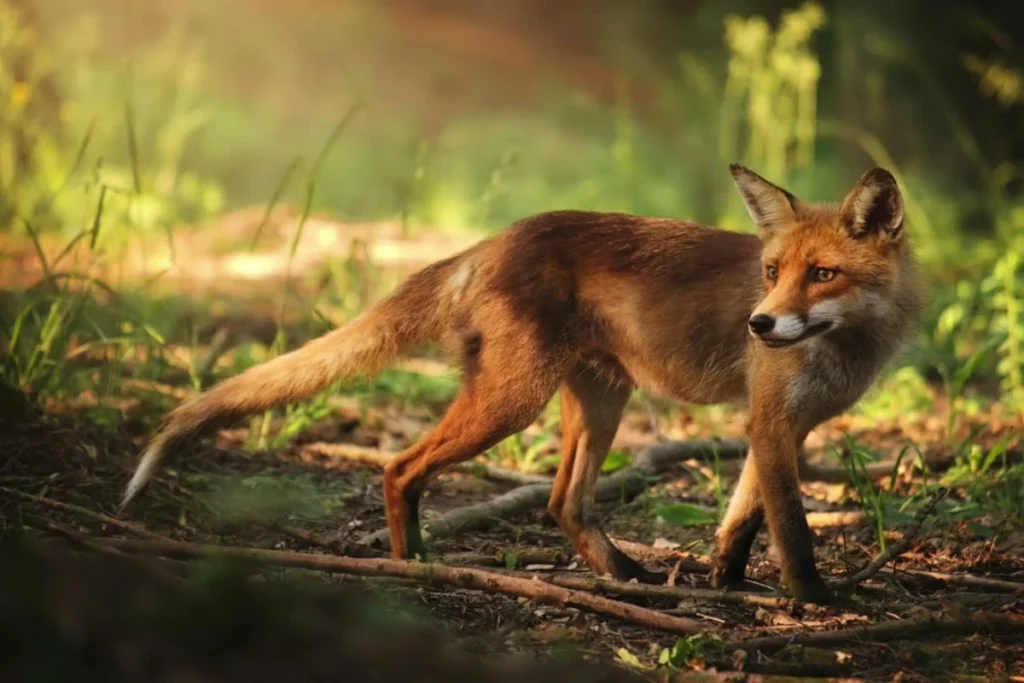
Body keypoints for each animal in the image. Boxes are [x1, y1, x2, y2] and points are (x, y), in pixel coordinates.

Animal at [119, 164, 922, 604]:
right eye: (771, 271)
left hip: (599, 402)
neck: (848, 346)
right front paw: (814, 600)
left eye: (822, 273)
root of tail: (494, 238)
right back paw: (411, 568)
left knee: (563, 503)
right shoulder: (770, 421)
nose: (759, 324)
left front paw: (726, 582)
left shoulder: (779, 425)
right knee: (400, 466)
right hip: (514, 402)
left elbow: (742, 521)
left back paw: (622, 574)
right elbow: (792, 529)